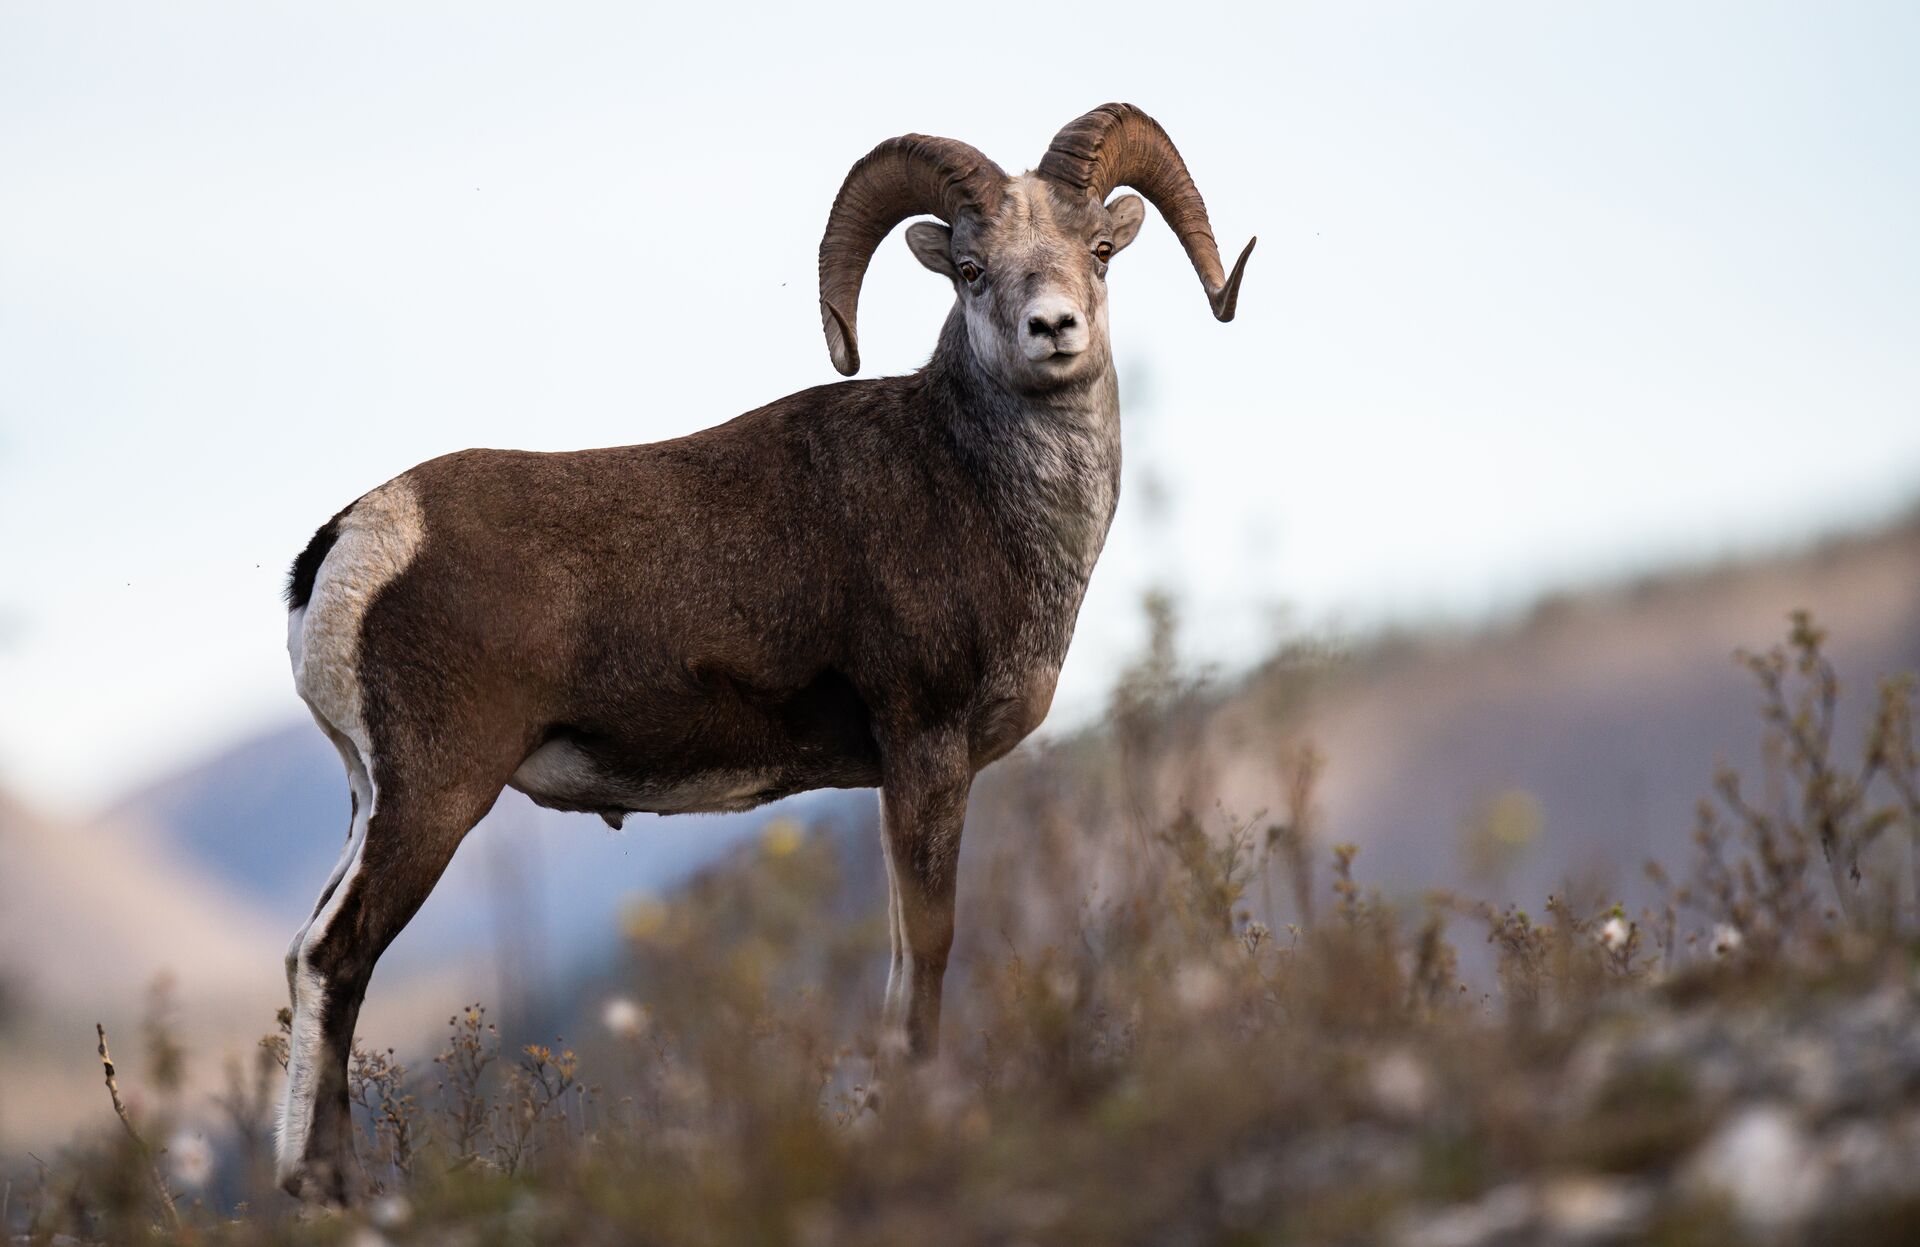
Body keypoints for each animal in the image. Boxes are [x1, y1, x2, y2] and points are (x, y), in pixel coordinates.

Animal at [275, 102, 1252, 1202]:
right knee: (337, 956)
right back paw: (324, 1188)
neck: (980, 493)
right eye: (970, 268)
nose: (1053, 329)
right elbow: (929, 946)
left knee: (310, 953)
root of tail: (351, 538)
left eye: (1097, 251)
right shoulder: (927, 749)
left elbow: (900, 950)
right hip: (435, 796)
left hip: (372, 796)